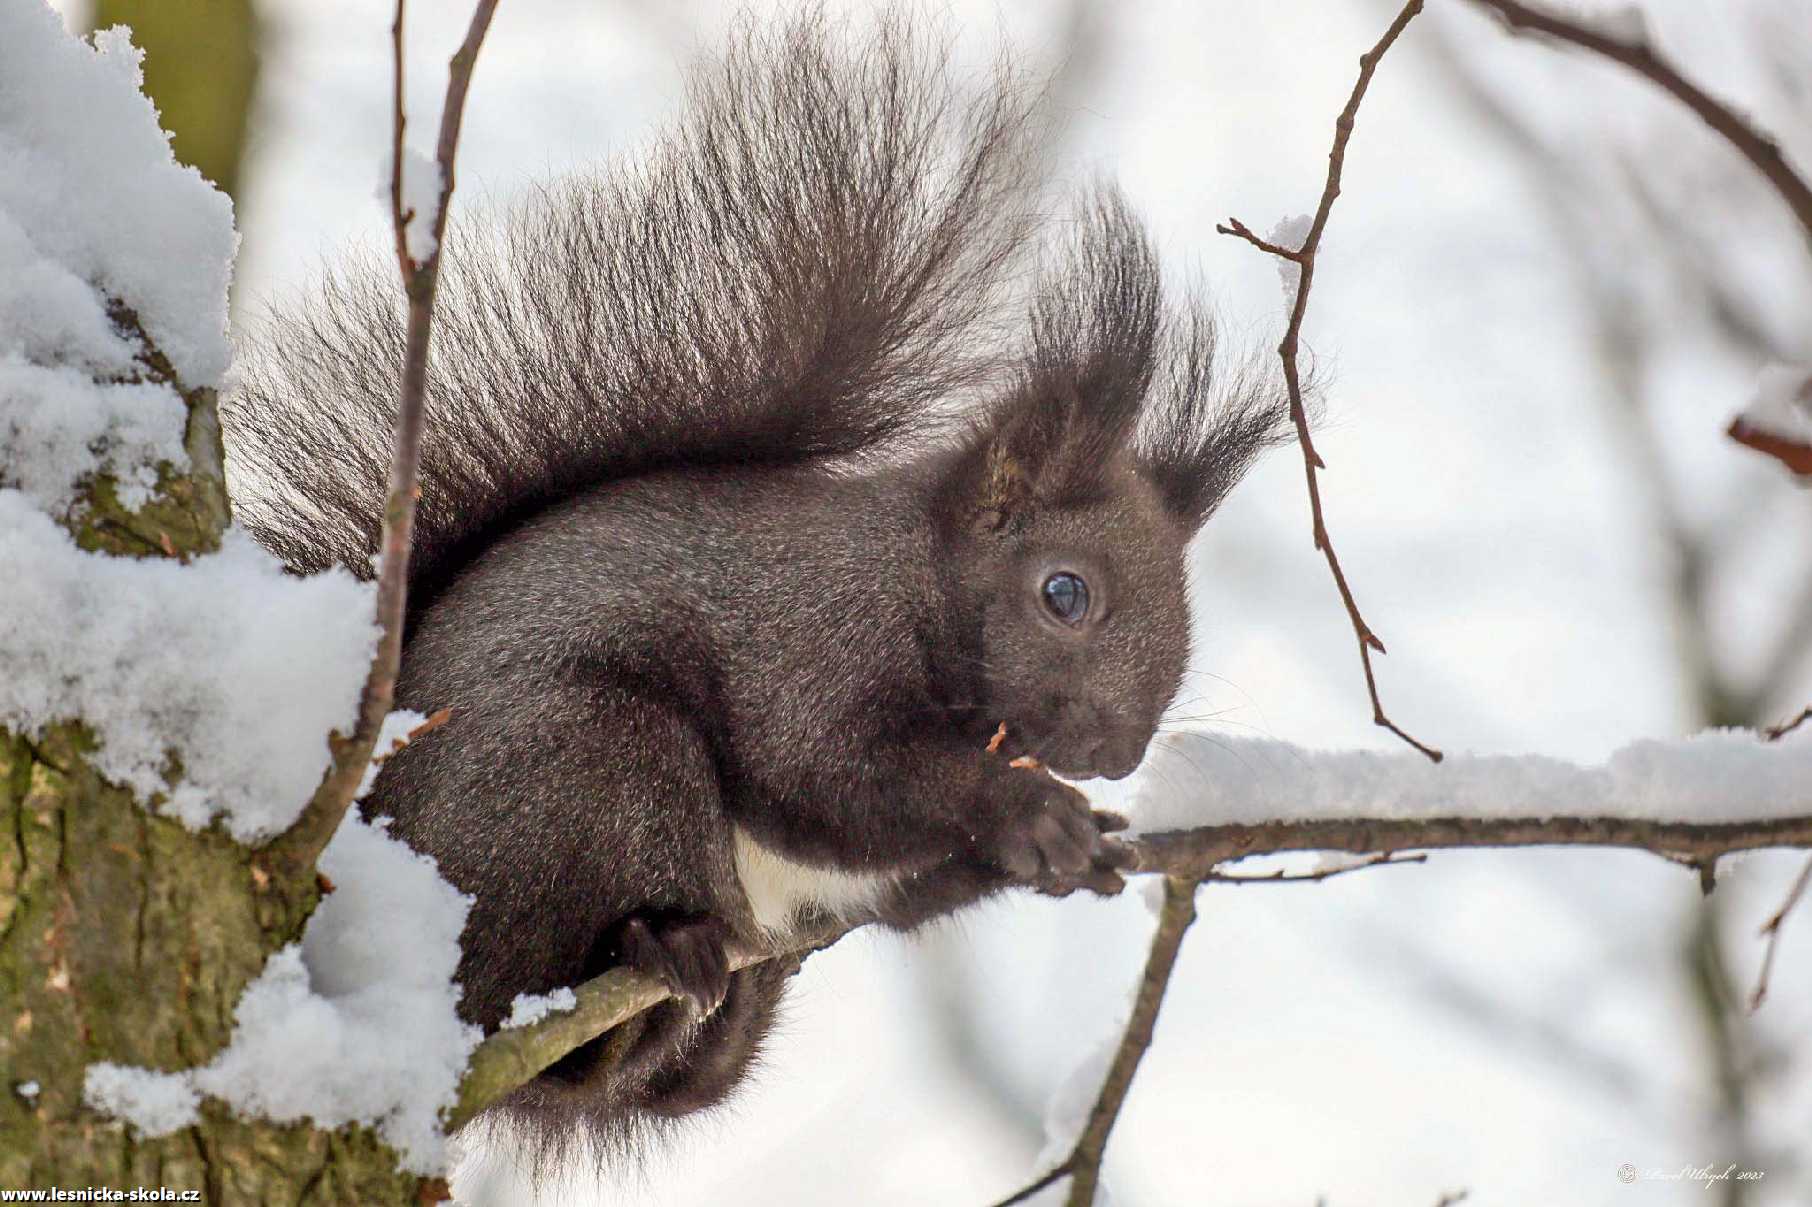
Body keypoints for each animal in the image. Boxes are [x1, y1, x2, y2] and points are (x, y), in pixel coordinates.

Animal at [219, 11, 1282, 1159]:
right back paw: (665, 944)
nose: (1118, 753)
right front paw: (1027, 808)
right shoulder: (808, 631)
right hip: (588, 764)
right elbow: (825, 769)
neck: (915, 581)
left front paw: (1060, 845)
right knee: (525, 985)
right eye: (1065, 593)